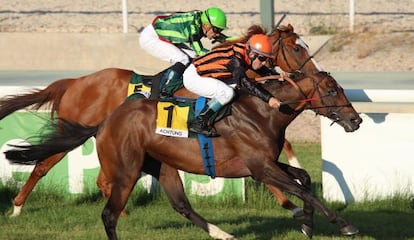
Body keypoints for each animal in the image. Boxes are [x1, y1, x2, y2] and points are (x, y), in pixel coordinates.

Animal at [0, 23, 320, 218]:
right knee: (42, 166)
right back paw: (16, 208)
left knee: (103, 179)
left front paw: (294, 191)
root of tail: (75, 81)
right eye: (296, 48)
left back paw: (121, 211)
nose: (315, 74)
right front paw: (292, 203)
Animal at [5, 71, 362, 238]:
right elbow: (305, 190)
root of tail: (105, 122)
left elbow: (305, 180)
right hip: (127, 170)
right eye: (332, 90)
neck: (263, 111)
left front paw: (307, 225)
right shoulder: (260, 167)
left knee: (181, 205)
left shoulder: (266, 164)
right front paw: (344, 225)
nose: (356, 120)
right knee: (107, 211)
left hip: (163, 166)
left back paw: (223, 234)